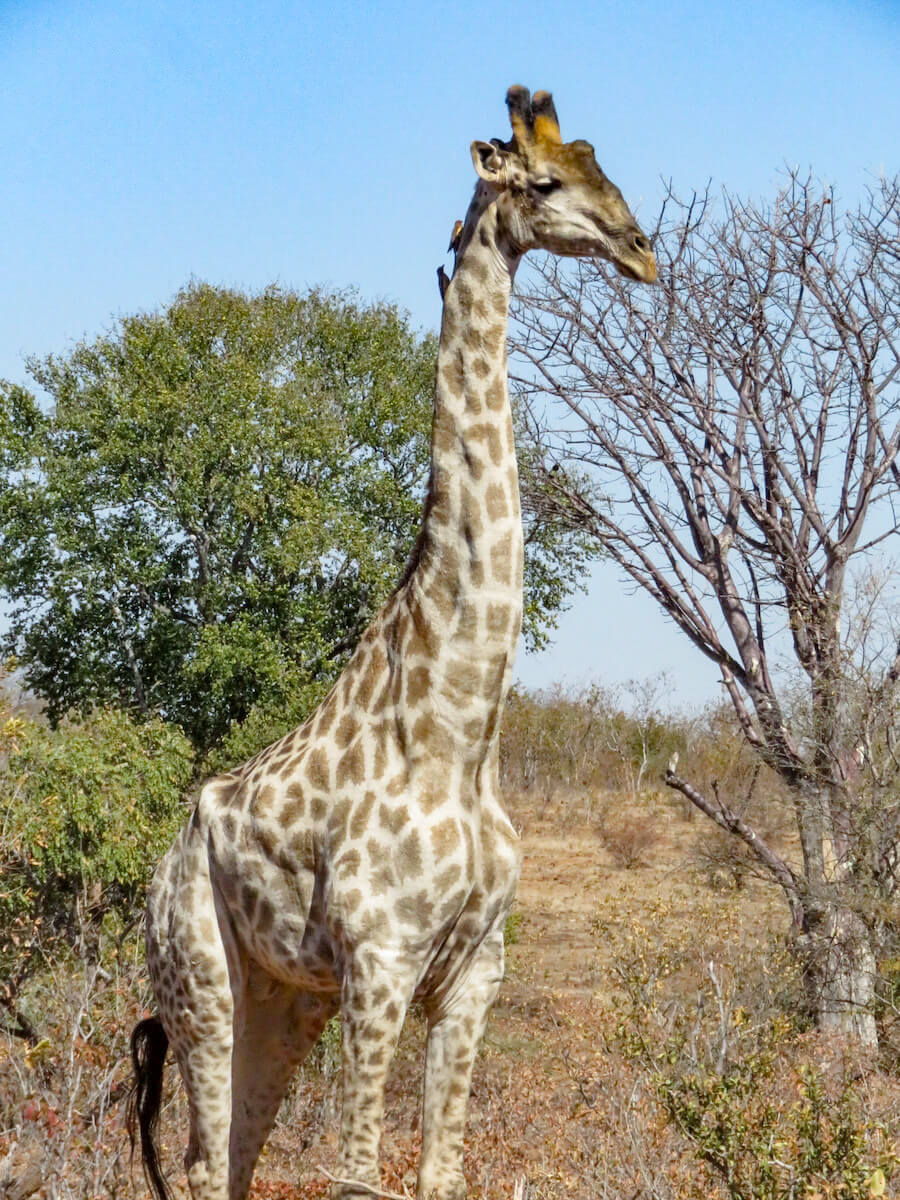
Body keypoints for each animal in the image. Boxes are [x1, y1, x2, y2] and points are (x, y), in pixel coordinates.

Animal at [128, 85, 657, 1200]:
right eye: (546, 183)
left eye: (605, 167)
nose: (641, 251)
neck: (458, 732)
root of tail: (160, 862)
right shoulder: (380, 963)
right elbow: (360, 1175)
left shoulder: (475, 972)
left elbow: (441, 1174)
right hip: (199, 975)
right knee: (197, 1163)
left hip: (285, 997)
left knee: (233, 1158)